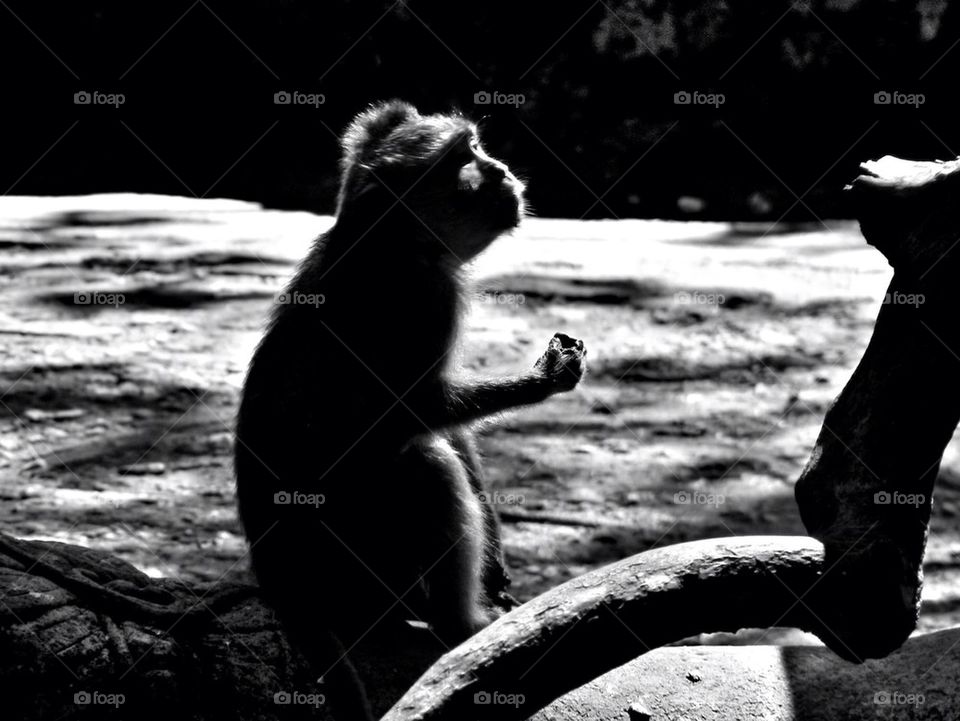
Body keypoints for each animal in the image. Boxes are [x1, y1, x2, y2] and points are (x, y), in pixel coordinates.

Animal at [234, 100, 587, 717]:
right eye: (462, 157)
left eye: (475, 147)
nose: (499, 168)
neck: (387, 236)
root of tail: (283, 579)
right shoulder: (423, 294)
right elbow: (417, 411)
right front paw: (544, 378)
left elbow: (449, 427)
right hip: (358, 561)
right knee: (423, 466)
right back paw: (459, 623)